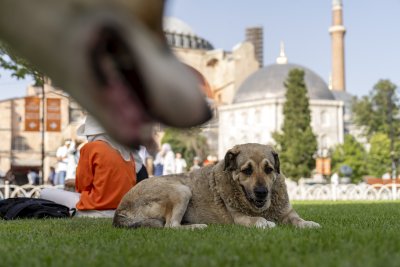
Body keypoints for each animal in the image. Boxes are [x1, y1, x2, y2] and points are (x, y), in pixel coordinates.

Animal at [112, 144, 318, 230]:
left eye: (269, 169)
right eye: (247, 170)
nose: (261, 192)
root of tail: (119, 212)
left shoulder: (287, 213)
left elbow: (297, 219)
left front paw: (308, 223)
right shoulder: (240, 218)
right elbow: (258, 220)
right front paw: (265, 222)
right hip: (182, 190)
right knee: (171, 226)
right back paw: (197, 227)